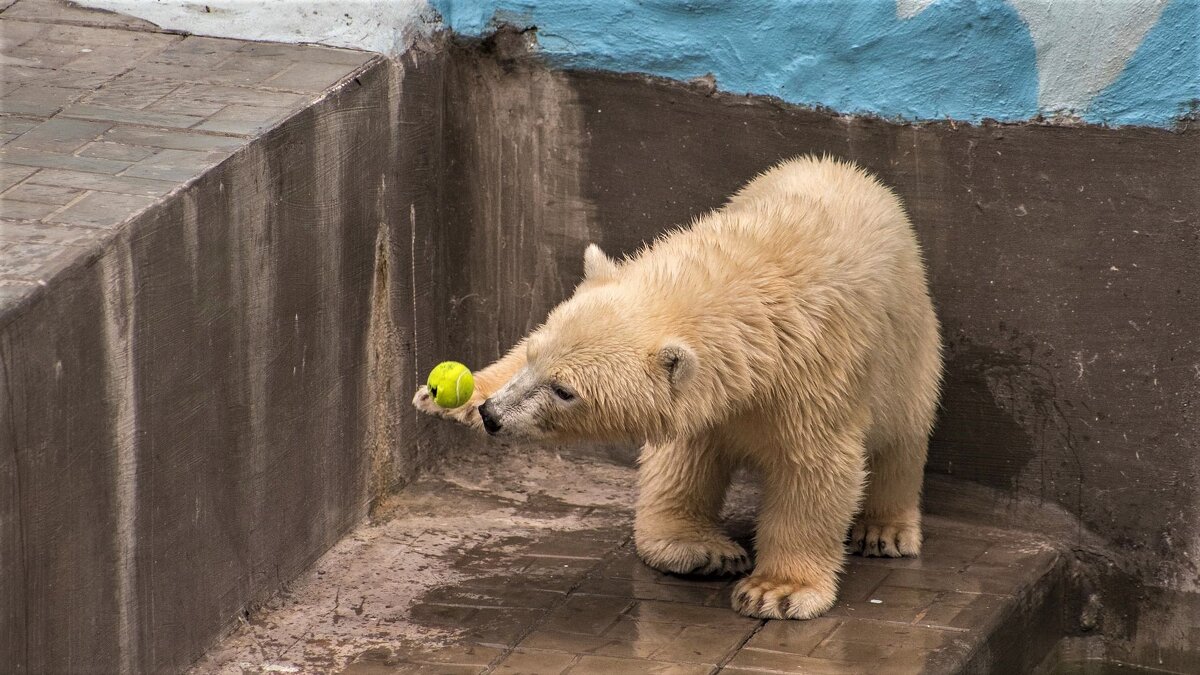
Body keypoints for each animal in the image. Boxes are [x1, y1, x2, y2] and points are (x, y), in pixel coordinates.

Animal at [417, 154, 940, 619]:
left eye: (565, 391)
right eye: (532, 355)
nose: (493, 415)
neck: (747, 280)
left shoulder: (817, 374)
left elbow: (813, 468)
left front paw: (776, 590)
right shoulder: (716, 392)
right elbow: (683, 455)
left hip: (910, 348)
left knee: (902, 435)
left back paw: (884, 530)